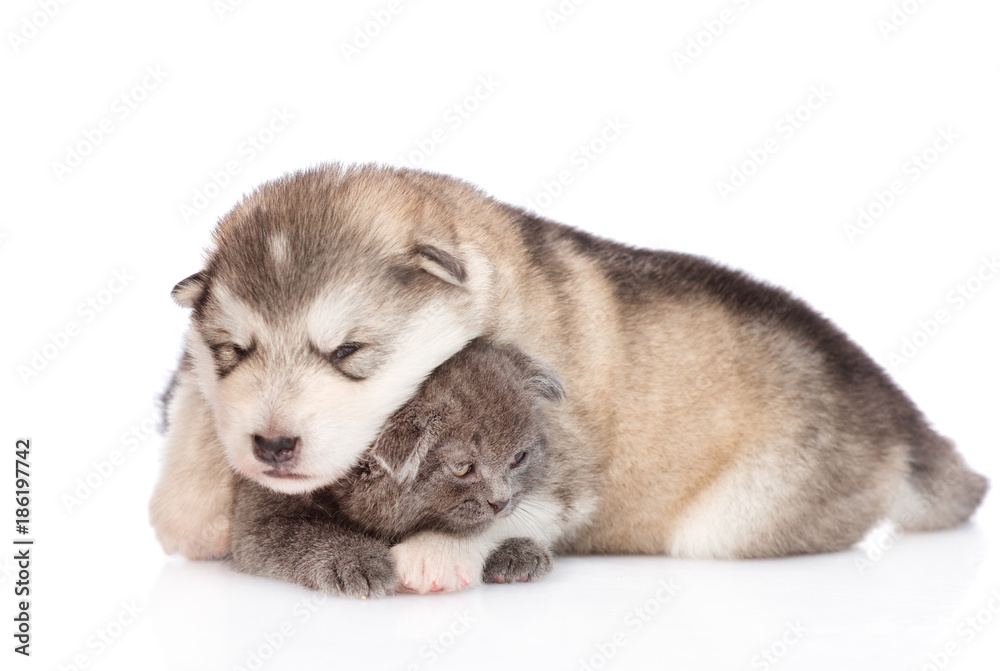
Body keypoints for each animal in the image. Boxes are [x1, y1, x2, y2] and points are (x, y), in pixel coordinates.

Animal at [229, 342, 572, 600]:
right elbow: (300, 534)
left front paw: (517, 552)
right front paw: (357, 560)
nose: (501, 502)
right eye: (463, 468)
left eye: (519, 458)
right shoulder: (257, 517)